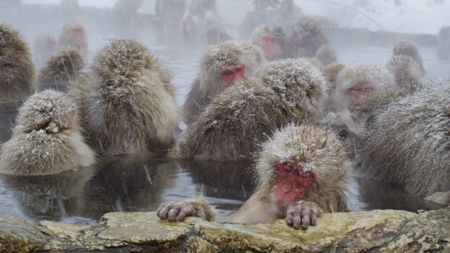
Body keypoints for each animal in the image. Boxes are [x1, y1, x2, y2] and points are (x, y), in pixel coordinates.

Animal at [158, 124, 352, 229]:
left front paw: (304, 208)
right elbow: (225, 222)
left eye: (304, 174)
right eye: (287, 167)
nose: (286, 189)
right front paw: (192, 207)